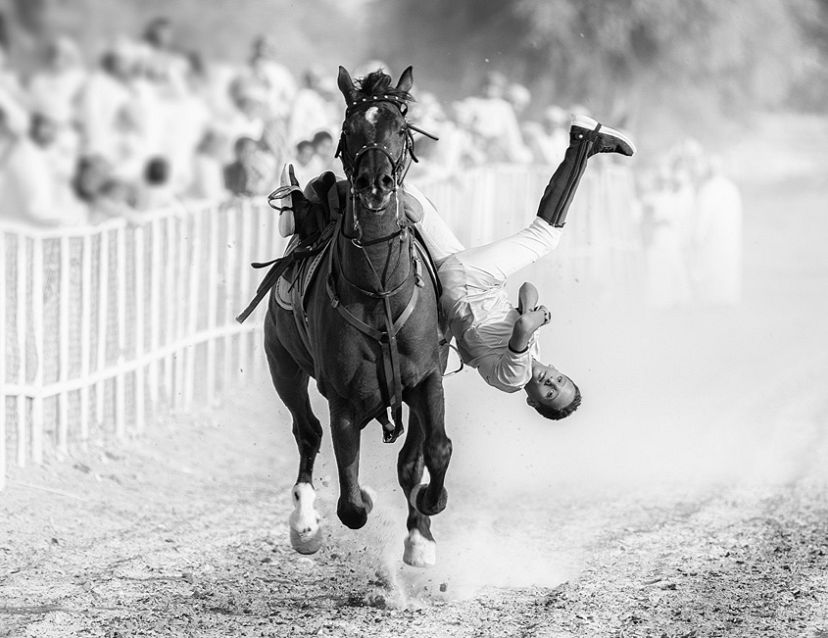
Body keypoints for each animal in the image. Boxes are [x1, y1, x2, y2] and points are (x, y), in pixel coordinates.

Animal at [262, 66, 450, 568]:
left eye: (400, 129)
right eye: (349, 132)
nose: (375, 183)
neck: (379, 287)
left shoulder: (426, 376)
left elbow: (432, 451)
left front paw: (424, 526)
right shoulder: (343, 399)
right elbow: (351, 503)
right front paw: (358, 499)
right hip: (282, 365)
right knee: (307, 432)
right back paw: (304, 523)